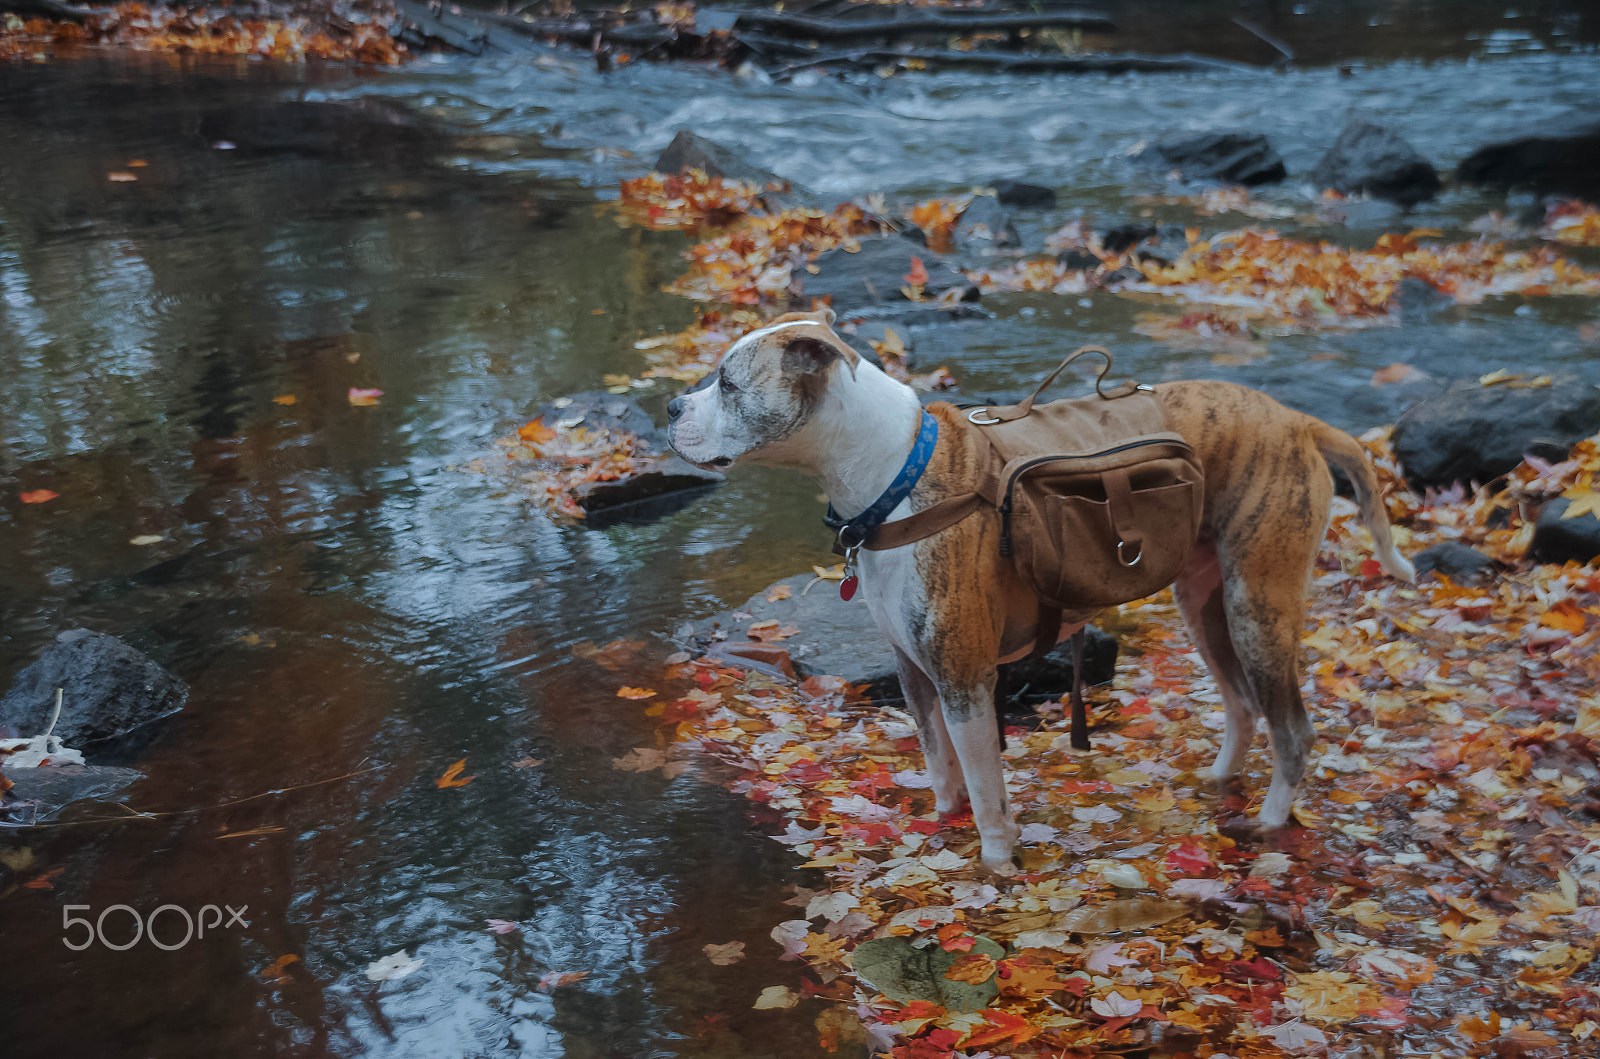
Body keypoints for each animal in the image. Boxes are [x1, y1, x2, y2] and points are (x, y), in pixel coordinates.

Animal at [662, 308, 1414, 876]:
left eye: (727, 383)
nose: (669, 405)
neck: (895, 474)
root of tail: (1295, 420)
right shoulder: (914, 672)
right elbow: (943, 772)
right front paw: (944, 828)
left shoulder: (965, 678)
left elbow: (987, 788)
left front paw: (996, 865)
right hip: (1206, 605)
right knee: (1242, 704)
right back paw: (1217, 784)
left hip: (1258, 605)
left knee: (1294, 729)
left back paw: (1269, 821)